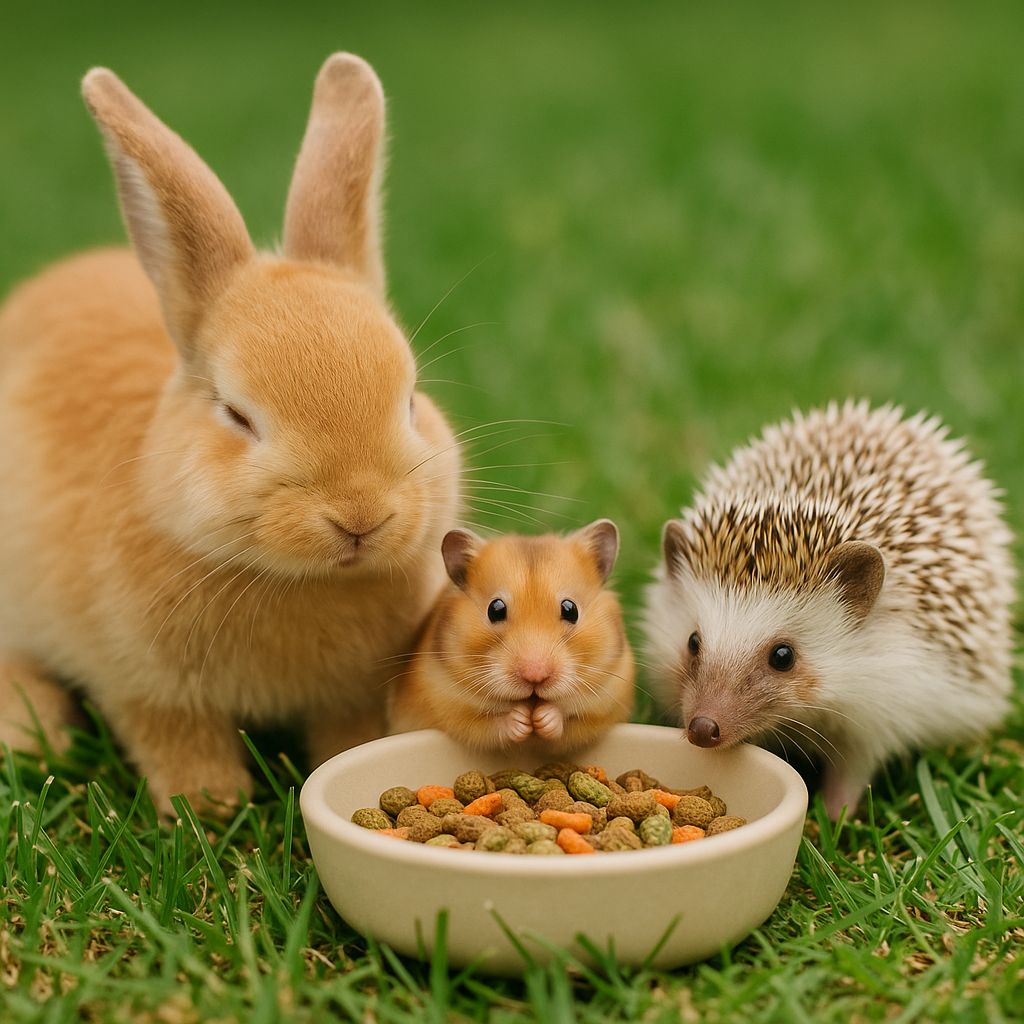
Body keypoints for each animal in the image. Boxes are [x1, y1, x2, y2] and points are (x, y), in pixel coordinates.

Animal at [0, 53, 461, 815]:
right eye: (237, 416)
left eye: (411, 399)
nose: (360, 516)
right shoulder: (150, 692)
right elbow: (180, 748)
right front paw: (208, 810)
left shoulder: (351, 694)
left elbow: (348, 736)